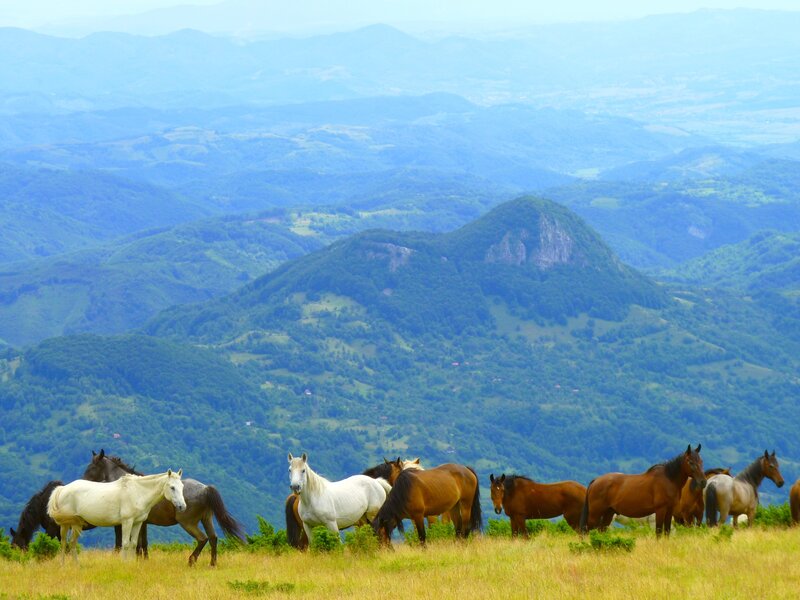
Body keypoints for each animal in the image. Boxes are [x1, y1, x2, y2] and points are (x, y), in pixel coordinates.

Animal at [47, 469, 186, 561]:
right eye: (172, 487)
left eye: (182, 486)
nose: (182, 507)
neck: (138, 492)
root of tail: (63, 489)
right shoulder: (127, 522)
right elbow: (125, 543)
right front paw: (124, 564)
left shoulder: (138, 522)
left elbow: (134, 544)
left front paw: (131, 564)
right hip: (65, 524)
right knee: (63, 543)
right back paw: (62, 565)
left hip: (77, 524)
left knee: (72, 542)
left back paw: (77, 565)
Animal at [83, 450, 246, 566]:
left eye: (91, 467)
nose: (82, 480)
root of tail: (205, 488)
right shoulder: (143, 523)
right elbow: (143, 543)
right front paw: (144, 560)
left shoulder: (128, 523)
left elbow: (127, 543)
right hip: (206, 519)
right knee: (213, 538)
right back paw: (212, 563)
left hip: (188, 522)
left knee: (202, 538)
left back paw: (191, 560)